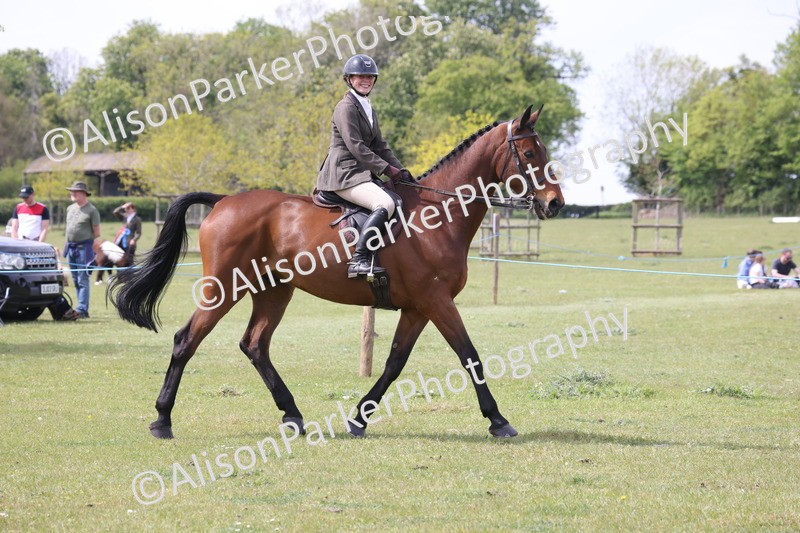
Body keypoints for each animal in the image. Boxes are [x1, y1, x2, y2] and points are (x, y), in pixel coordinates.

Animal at [109, 104, 564, 440]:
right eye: (529, 154)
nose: (555, 203)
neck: (438, 215)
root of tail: (222, 201)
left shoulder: (418, 307)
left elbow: (394, 363)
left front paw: (358, 419)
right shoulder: (436, 301)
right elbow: (469, 356)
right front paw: (499, 421)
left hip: (273, 290)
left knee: (255, 345)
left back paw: (293, 415)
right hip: (223, 287)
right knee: (187, 340)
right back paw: (162, 420)